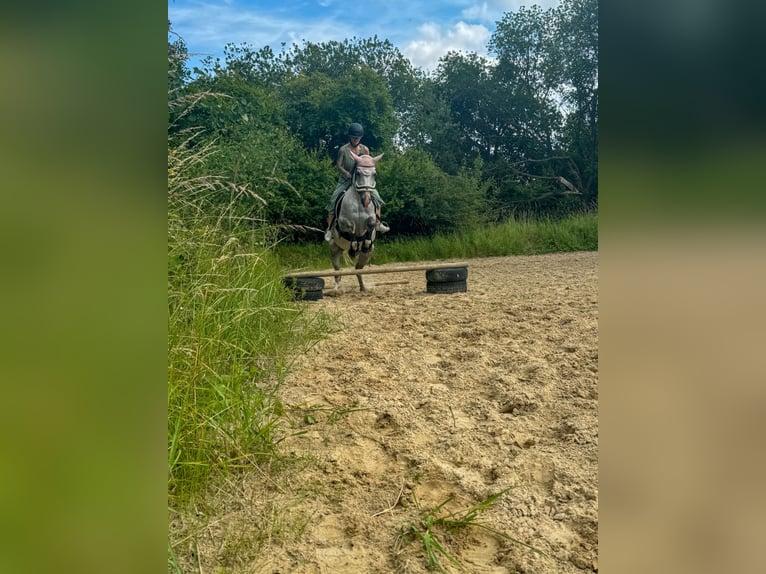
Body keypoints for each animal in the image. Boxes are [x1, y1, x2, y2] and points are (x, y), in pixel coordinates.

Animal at [328, 152, 384, 292]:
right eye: (358, 173)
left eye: (374, 174)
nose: (367, 200)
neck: (359, 202)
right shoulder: (343, 223)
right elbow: (351, 228)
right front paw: (353, 250)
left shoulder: (372, 219)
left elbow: (370, 225)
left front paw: (364, 244)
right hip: (334, 248)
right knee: (337, 272)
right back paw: (336, 289)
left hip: (367, 255)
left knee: (358, 270)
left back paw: (363, 287)